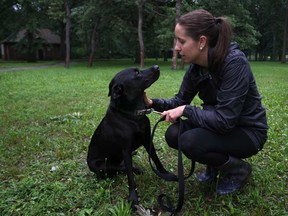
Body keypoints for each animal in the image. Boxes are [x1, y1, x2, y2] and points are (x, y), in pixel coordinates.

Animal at [86, 65, 171, 207]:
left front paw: (165, 174)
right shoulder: (125, 149)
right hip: (100, 165)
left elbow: (155, 158)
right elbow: (130, 177)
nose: (157, 66)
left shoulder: (147, 139)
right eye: (136, 73)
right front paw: (133, 197)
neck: (132, 115)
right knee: (118, 168)